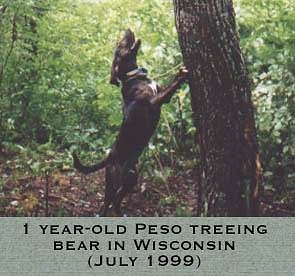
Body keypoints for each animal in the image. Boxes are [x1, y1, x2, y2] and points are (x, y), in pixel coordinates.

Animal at [74, 29, 190, 216]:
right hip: (114, 181)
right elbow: (170, 87)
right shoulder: (153, 101)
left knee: (116, 200)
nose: (128, 29)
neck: (135, 77)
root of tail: (110, 157)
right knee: (107, 202)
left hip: (131, 177)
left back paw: (121, 213)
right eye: (120, 45)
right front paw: (181, 75)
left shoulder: (162, 99)